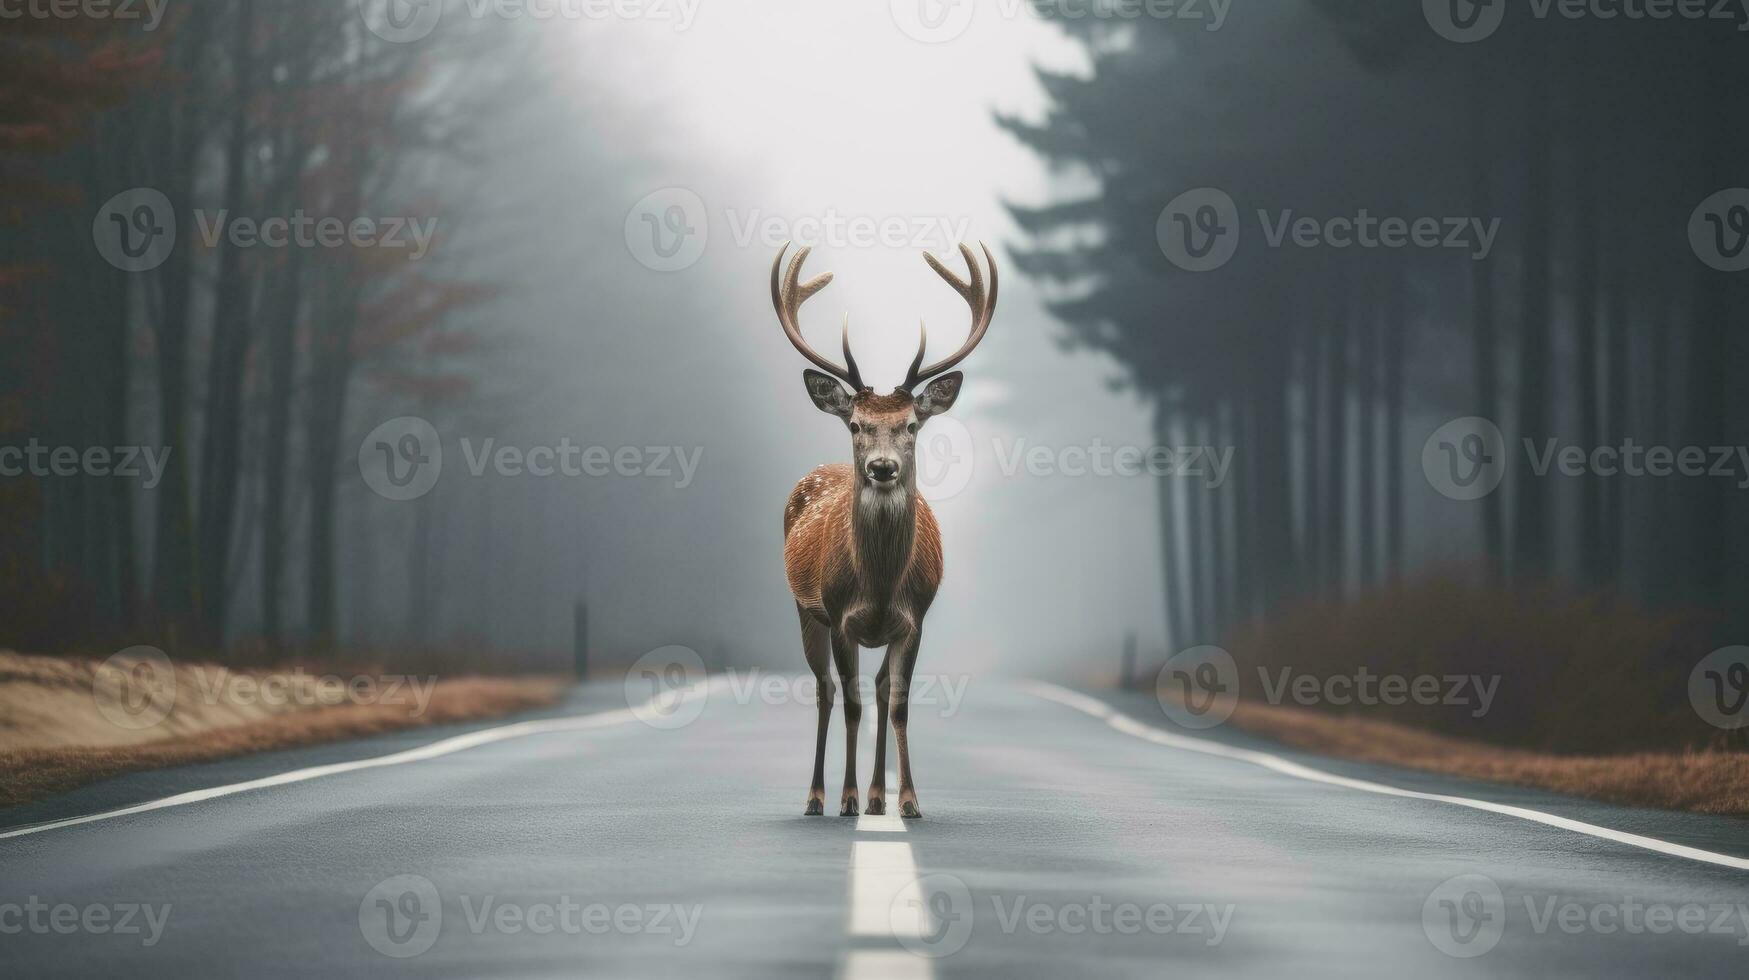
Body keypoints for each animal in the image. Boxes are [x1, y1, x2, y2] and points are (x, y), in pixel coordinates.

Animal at [776, 243, 1007, 819]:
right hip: (803, 609)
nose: (882, 467)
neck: (879, 587)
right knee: (826, 691)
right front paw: (847, 798)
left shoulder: (914, 618)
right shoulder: (838, 614)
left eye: (912, 425)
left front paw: (908, 800)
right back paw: (817, 797)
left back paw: (879, 797)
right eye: (856, 425)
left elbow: (897, 701)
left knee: (880, 689)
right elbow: (851, 701)